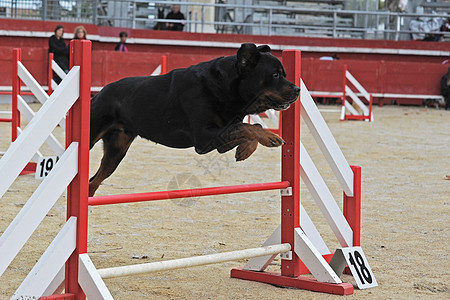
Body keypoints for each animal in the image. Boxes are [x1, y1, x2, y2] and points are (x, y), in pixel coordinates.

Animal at [89, 43, 298, 196]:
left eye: (284, 74)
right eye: (275, 74)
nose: (297, 89)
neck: (225, 87)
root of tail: (98, 95)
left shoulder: (218, 140)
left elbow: (248, 125)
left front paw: (245, 149)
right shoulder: (204, 138)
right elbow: (245, 126)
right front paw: (270, 137)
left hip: (116, 150)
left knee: (93, 182)